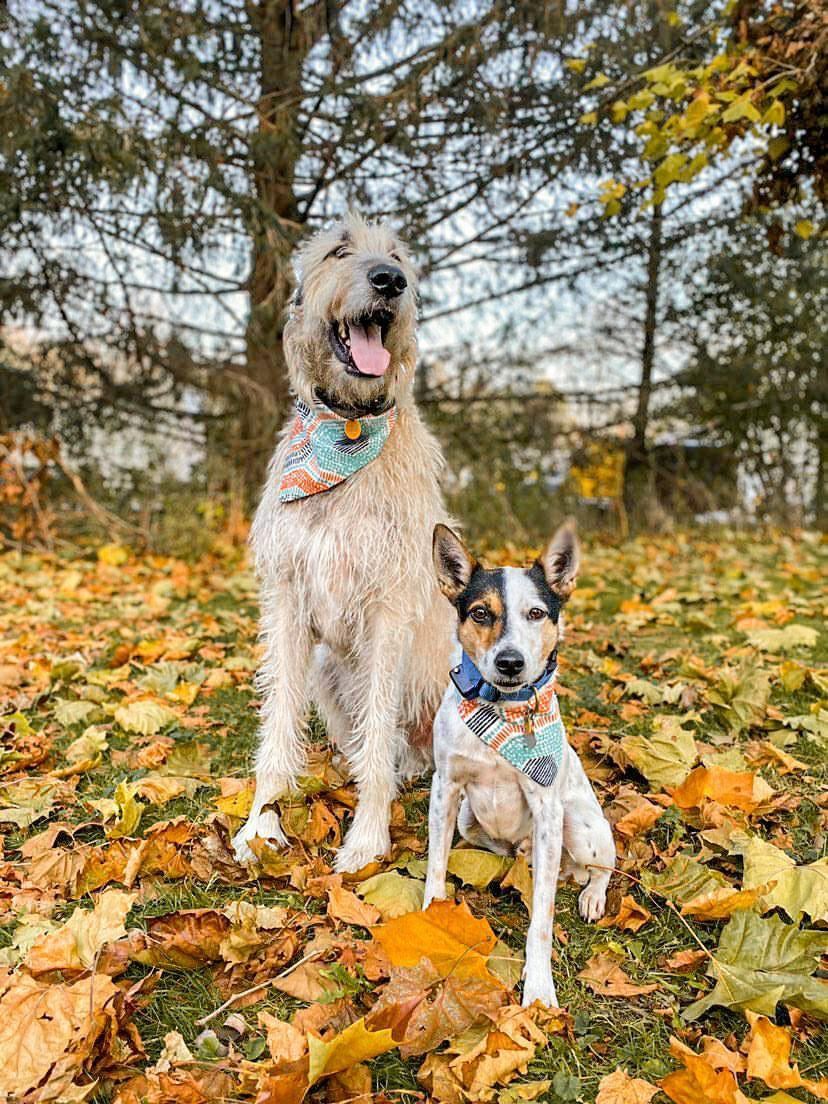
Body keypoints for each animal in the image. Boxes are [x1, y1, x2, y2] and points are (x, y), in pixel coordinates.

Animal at [231, 213, 454, 869]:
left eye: (399, 256)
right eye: (339, 250)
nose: (389, 281)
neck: (348, 427)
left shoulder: (389, 608)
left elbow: (378, 726)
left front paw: (368, 837)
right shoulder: (286, 597)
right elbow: (280, 716)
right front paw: (263, 822)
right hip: (329, 669)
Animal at [423, 521, 613, 1006]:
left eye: (536, 613)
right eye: (480, 613)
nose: (510, 662)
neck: (501, 711)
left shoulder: (547, 808)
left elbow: (542, 922)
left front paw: (540, 986)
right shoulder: (446, 788)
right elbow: (435, 864)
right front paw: (430, 916)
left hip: (580, 825)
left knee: (602, 866)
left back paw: (591, 895)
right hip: (469, 818)